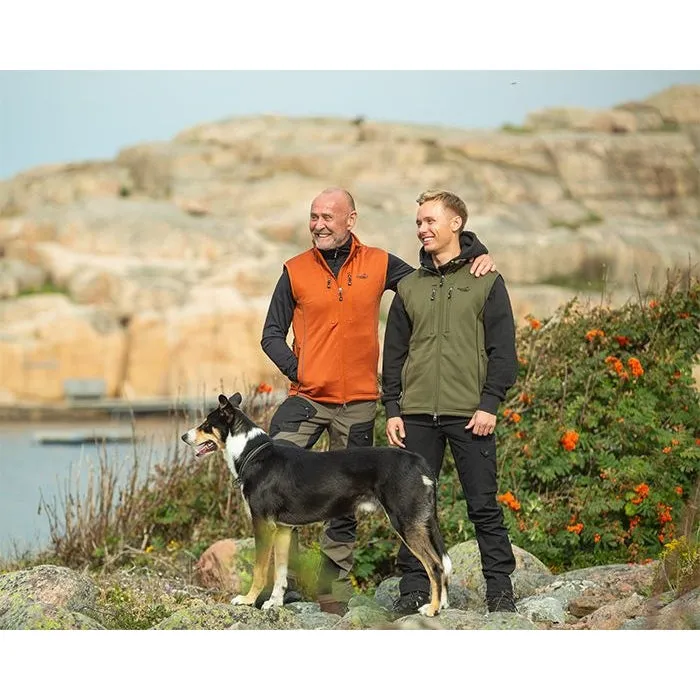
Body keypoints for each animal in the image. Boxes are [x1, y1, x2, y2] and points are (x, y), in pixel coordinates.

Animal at [183, 394, 452, 616]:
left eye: (206, 424)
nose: (184, 436)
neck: (253, 454)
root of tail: (420, 462)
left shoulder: (262, 524)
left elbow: (260, 570)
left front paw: (248, 600)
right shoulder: (283, 529)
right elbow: (280, 572)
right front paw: (275, 603)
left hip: (405, 522)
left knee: (435, 566)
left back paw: (432, 609)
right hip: (421, 522)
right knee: (441, 564)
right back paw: (442, 606)